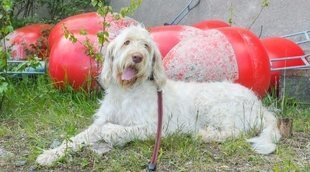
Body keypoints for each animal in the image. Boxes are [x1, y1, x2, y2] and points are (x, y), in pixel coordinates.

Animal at [36, 24, 280, 166]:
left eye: (145, 45)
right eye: (126, 42)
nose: (137, 57)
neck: (128, 91)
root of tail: (259, 105)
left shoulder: (157, 126)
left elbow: (121, 130)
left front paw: (112, 133)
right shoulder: (101, 120)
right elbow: (76, 138)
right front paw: (50, 154)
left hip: (216, 108)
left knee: (234, 132)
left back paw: (205, 134)